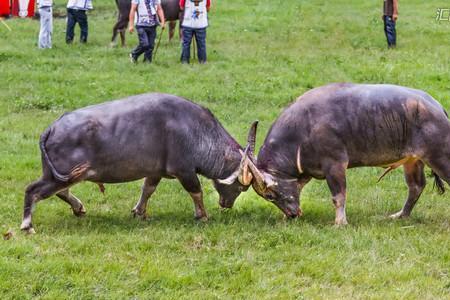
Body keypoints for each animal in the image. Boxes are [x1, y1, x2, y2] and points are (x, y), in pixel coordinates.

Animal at [20, 92, 253, 233]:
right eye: (242, 186)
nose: (226, 205)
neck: (196, 130)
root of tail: (52, 128)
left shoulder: (156, 171)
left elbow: (147, 189)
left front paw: (139, 212)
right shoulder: (185, 171)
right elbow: (196, 192)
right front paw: (202, 216)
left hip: (60, 175)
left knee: (60, 191)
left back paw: (78, 208)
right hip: (59, 176)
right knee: (33, 190)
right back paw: (27, 225)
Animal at [236, 83, 450, 224]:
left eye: (270, 194)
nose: (292, 214)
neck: (303, 130)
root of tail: (437, 107)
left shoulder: (335, 164)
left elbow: (338, 195)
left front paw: (340, 223)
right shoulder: (307, 171)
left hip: (439, 157)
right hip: (413, 161)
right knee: (416, 186)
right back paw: (401, 215)